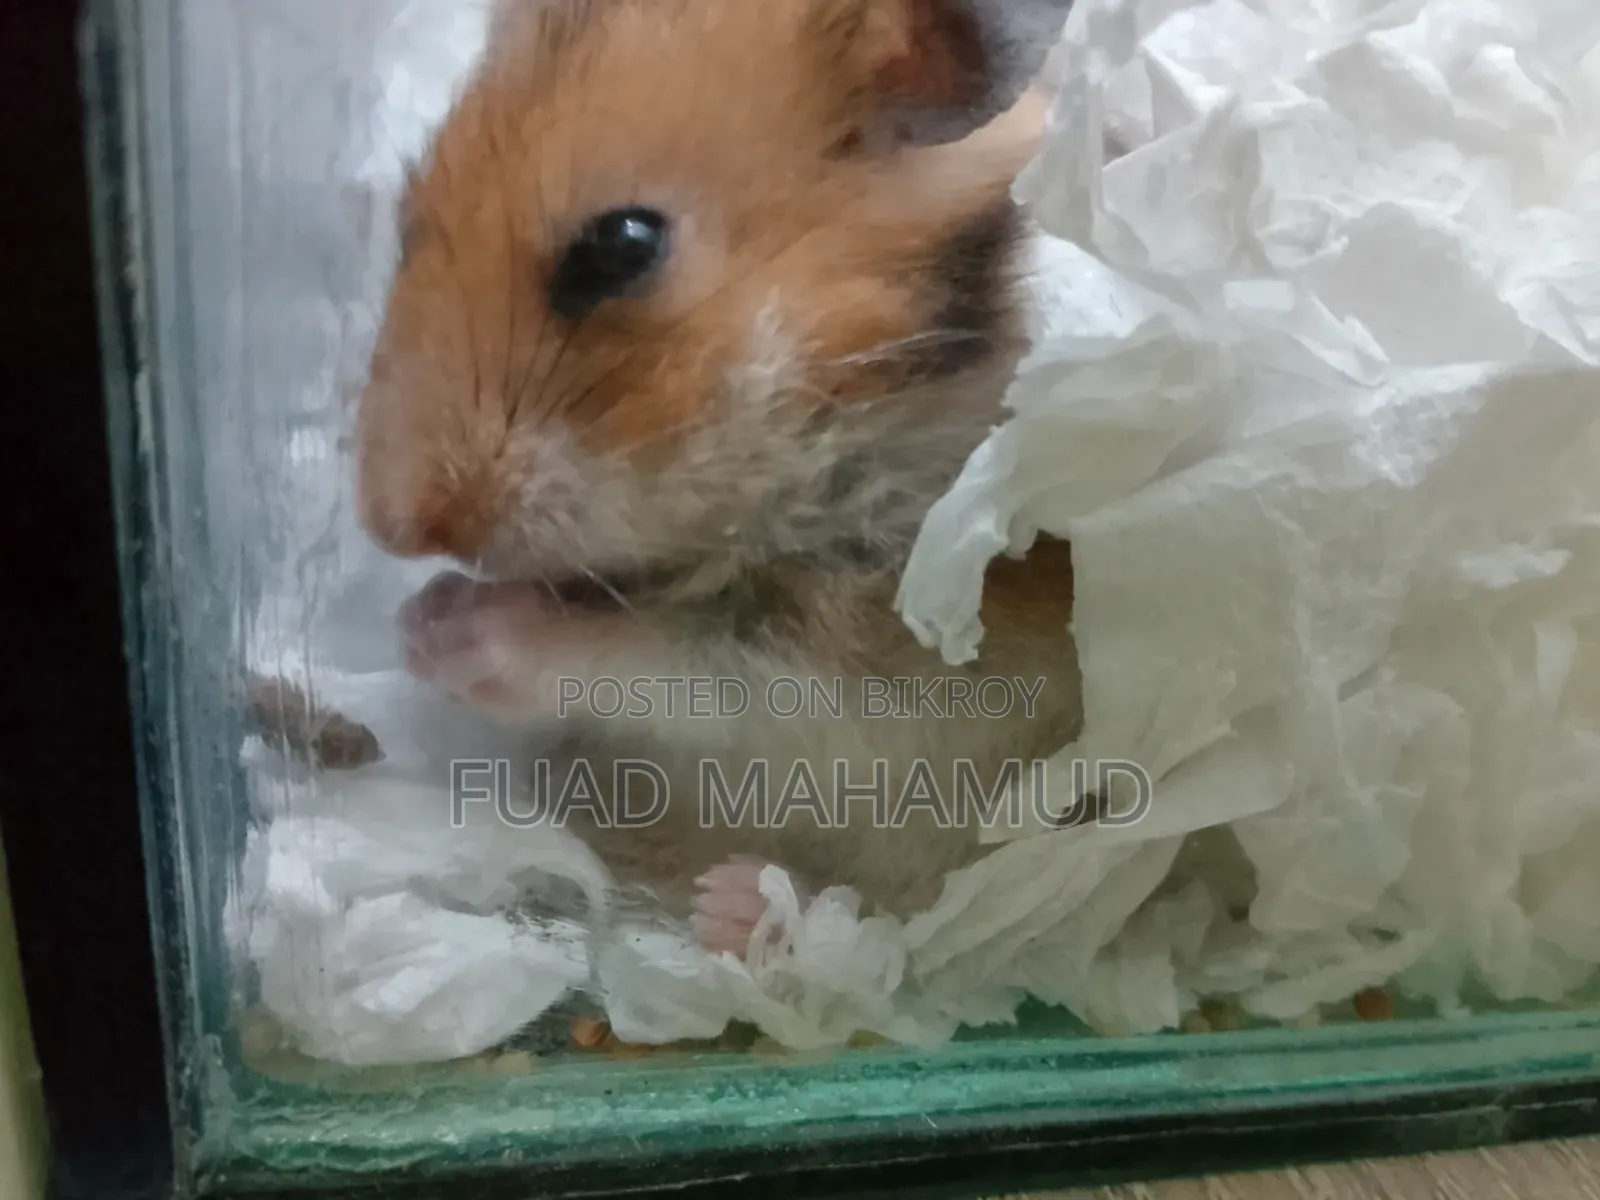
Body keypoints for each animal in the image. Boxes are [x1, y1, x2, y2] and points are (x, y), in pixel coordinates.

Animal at [355, 0, 1082, 955]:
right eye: (406, 219)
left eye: (623, 246)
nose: (389, 525)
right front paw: (418, 614)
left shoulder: (914, 641)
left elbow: (678, 659)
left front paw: (449, 626)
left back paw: (738, 906)